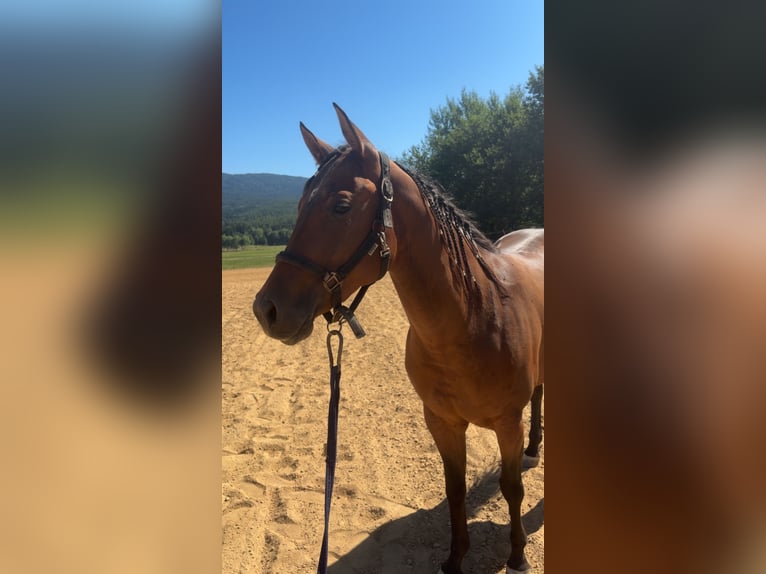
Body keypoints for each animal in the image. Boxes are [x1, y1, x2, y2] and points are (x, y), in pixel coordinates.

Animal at [253, 104, 544, 574]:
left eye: (341, 205)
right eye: (299, 205)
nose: (267, 310)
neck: (472, 321)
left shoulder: (506, 422)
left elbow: (512, 488)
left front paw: (517, 554)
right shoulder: (441, 422)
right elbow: (455, 489)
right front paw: (454, 559)